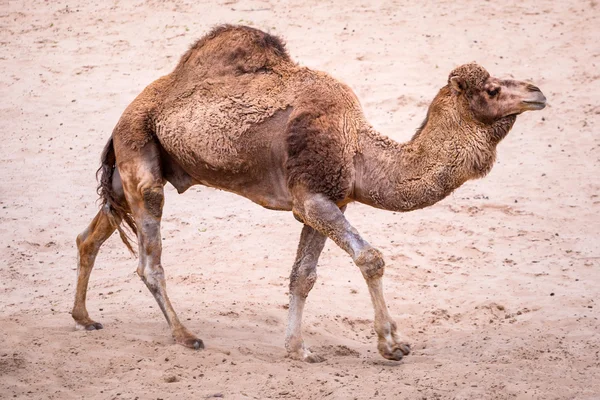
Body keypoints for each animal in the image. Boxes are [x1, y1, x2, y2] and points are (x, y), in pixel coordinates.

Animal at [72, 24, 548, 362]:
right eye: (492, 89)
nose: (538, 91)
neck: (357, 150)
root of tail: (124, 115)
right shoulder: (314, 197)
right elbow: (371, 258)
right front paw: (391, 344)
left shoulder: (323, 203)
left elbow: (302, 276)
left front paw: (298, 348)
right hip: (140, 157)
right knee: (149, 262)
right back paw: (186, 336)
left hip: (127, 175)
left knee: (90, 236)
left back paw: (84, 317)